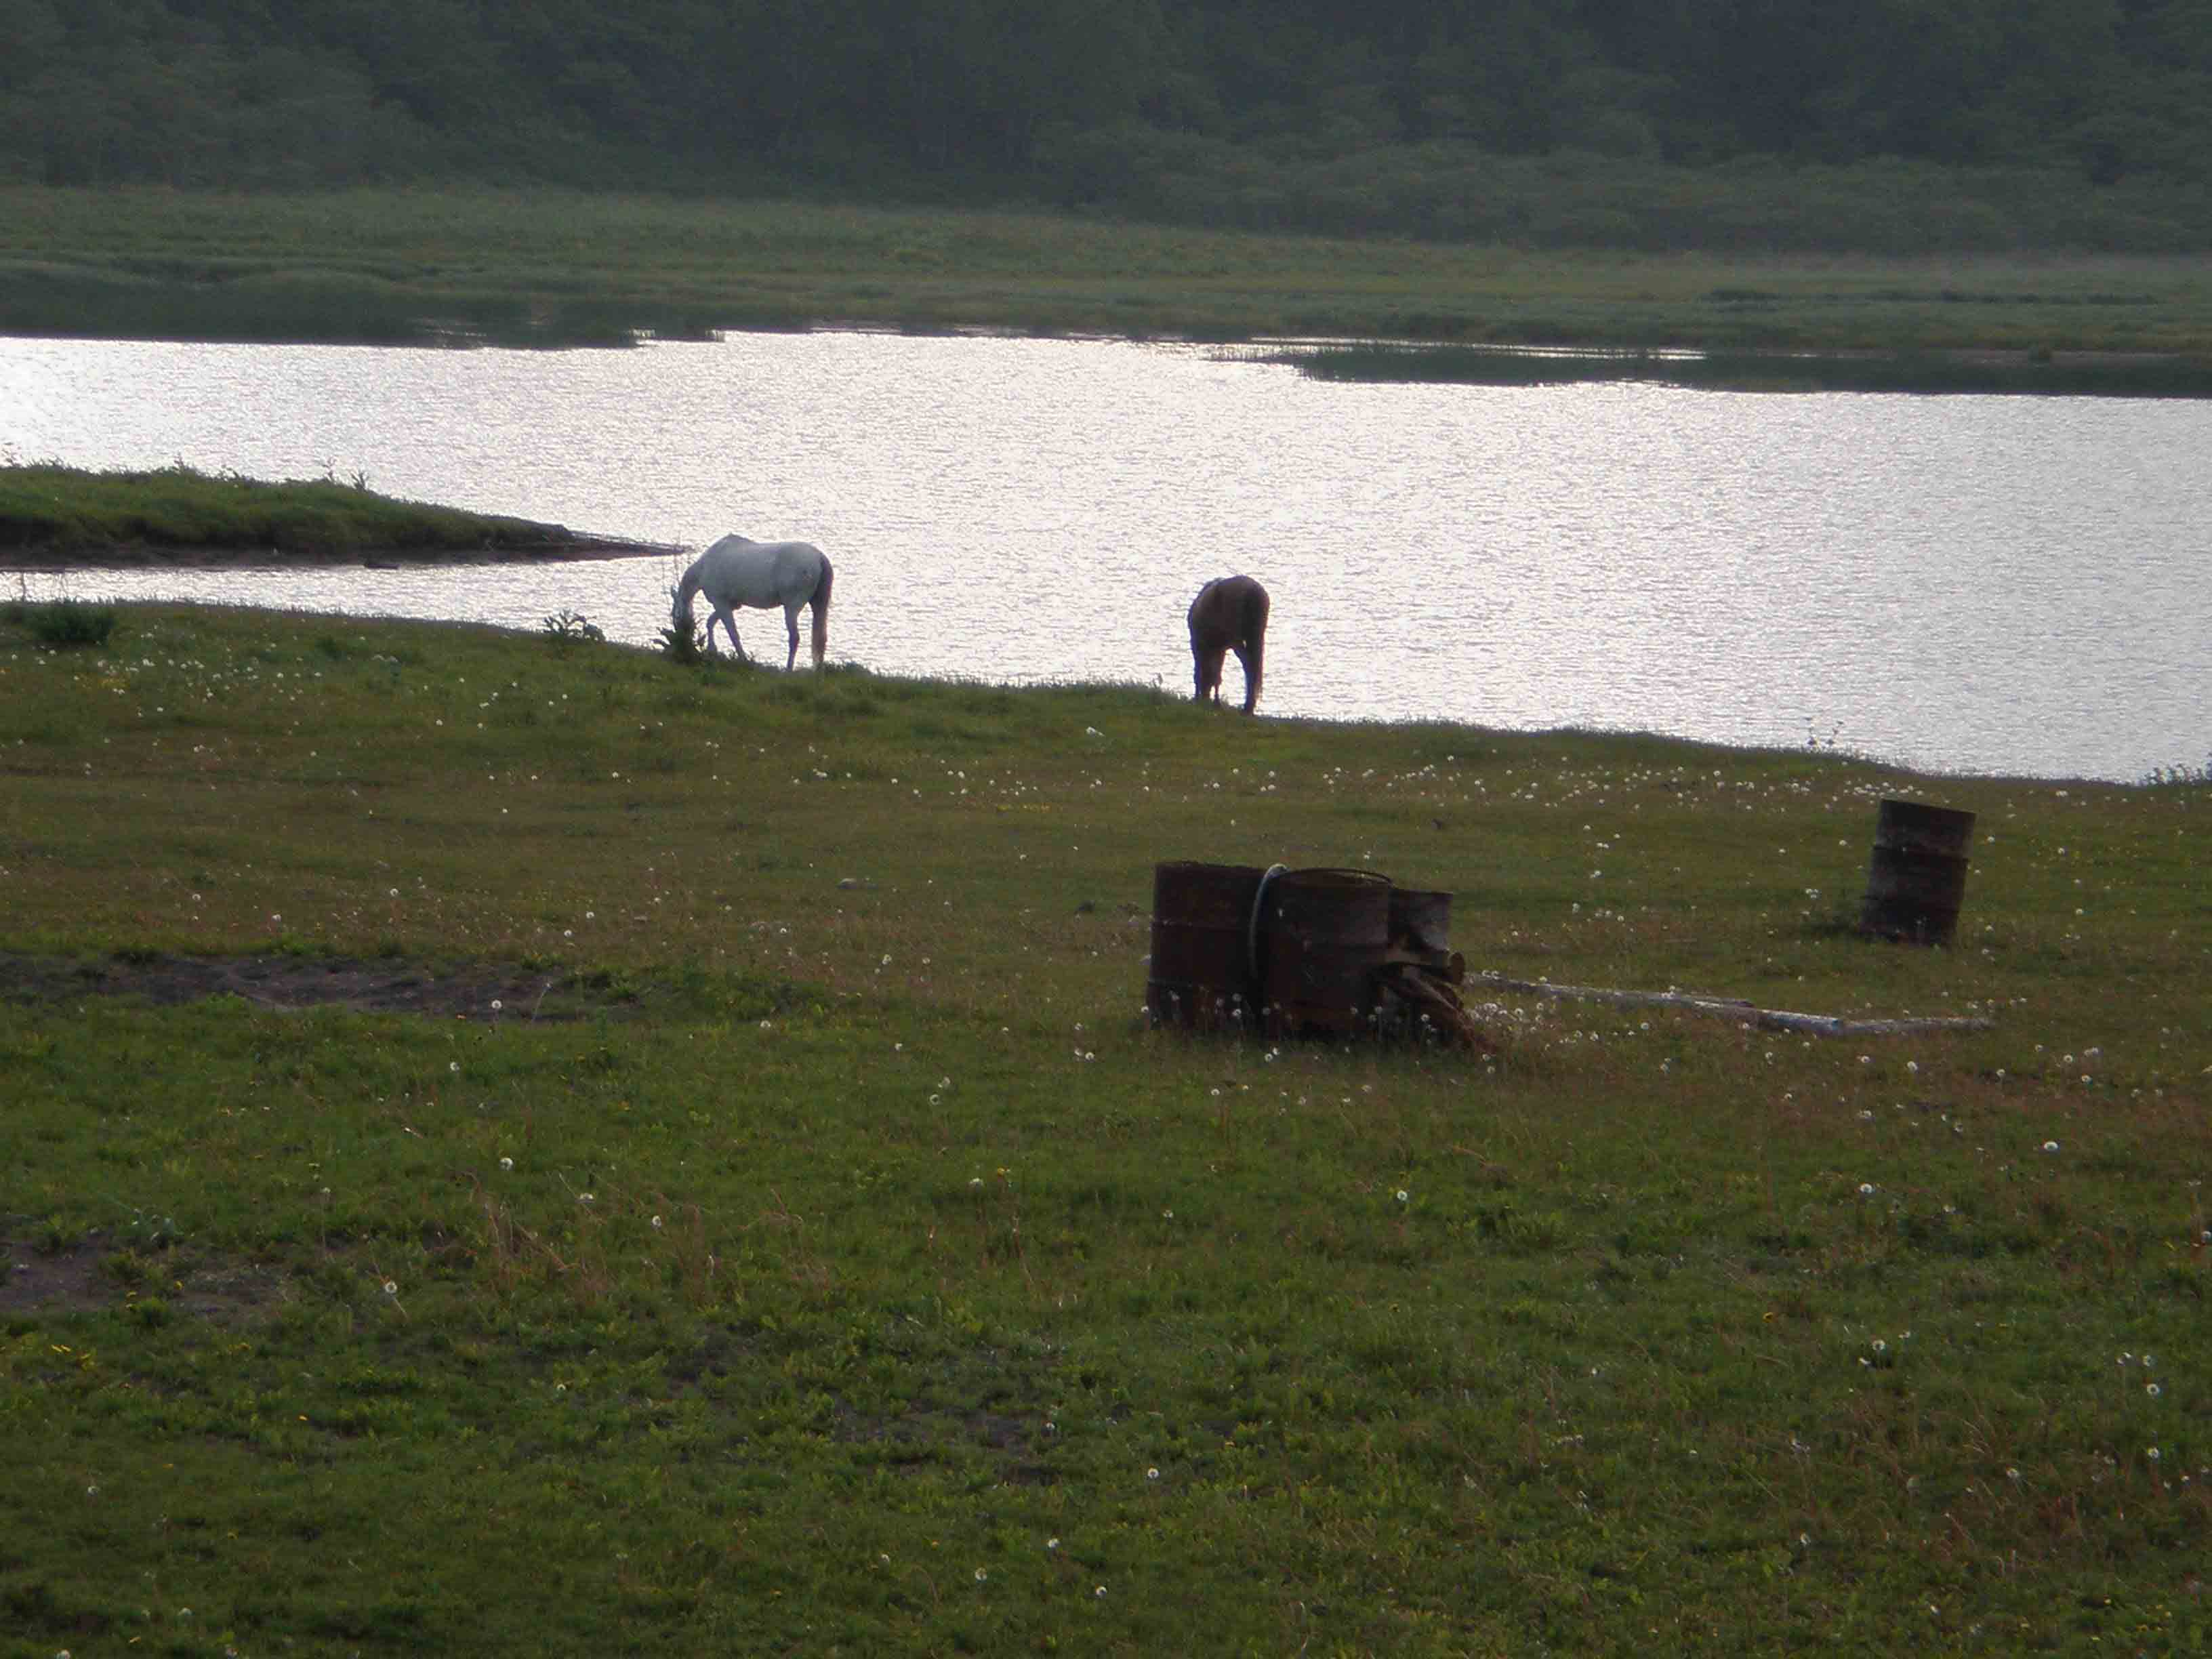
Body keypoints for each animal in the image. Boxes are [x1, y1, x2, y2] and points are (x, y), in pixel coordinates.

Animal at [668, 535, 832, 672]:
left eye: (674, 615)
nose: (682, 636)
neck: (705, 567)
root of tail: (819, 557)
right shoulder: (731, 605)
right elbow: (711, 622)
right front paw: (712, 650)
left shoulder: (721, 603)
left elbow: (732, 633)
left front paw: (742, 659)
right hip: (818, 605)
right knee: (821, 638)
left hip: (792, 608)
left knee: (795, 638)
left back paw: (788, 669)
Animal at [1185, 579, 1274, 716]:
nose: (1205, 698)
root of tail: (1253, 591)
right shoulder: (1220, 649)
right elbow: (1217, 674)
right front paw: (1216, 702)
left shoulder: (1198, 644)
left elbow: (1200, 672)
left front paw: (1199, 698)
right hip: (1256, 635)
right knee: (1254, 666)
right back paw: (1249, 707)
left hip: (1236, 640)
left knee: (1248, 664)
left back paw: (1247, 707)